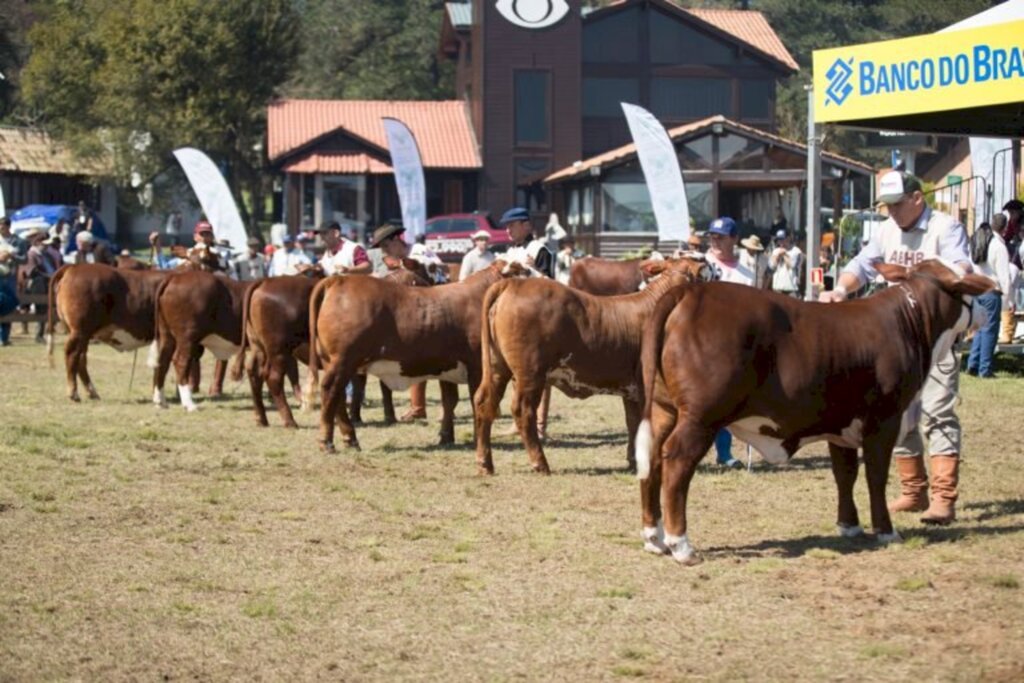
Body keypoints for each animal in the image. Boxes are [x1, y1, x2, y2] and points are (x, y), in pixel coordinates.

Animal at [45, 262, 169, 401]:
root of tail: (75, 266)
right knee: (72, 354)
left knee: (81, 358)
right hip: (79, 330)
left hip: (82, 333)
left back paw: (92, 392)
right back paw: (73, 393)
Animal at [151, 270, 251, 411]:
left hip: (167, 334)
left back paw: (160, 401)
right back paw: (189, 404)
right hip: (187, 337)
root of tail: (175, 277)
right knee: (180, 362)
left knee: (162, 361)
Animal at [305, 262, 516, 454]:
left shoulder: (448, 366)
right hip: (343, 360)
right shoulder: (477, 367)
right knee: (330, 391)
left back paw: (350, 439)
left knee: (338, 397)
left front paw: (446, 436)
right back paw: (326, 442)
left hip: (337, 362)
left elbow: (450, 401)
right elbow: (475, 400)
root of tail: (338, 280)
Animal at [475, 255, 708, 475]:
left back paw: (485, 463)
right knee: (523, 410)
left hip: (497, 367)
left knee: (485, 402)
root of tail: (512, 284)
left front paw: (633, 460)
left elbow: (633, 423)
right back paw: (540, 463)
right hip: (530, 373)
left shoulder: (631, 390)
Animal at [630, 259, 991, 565]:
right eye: (966, 282)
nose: (987, 311)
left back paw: (653, 538)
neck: (909, 323)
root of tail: (689, 292)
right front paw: (887, 531)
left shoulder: (840, 423)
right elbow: (875, 476)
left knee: (653, 458)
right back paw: (681, 545)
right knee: (676, 460)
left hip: (664, 410)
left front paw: (849, 525)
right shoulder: (884, 419)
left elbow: (845, 474)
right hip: (701, 417)